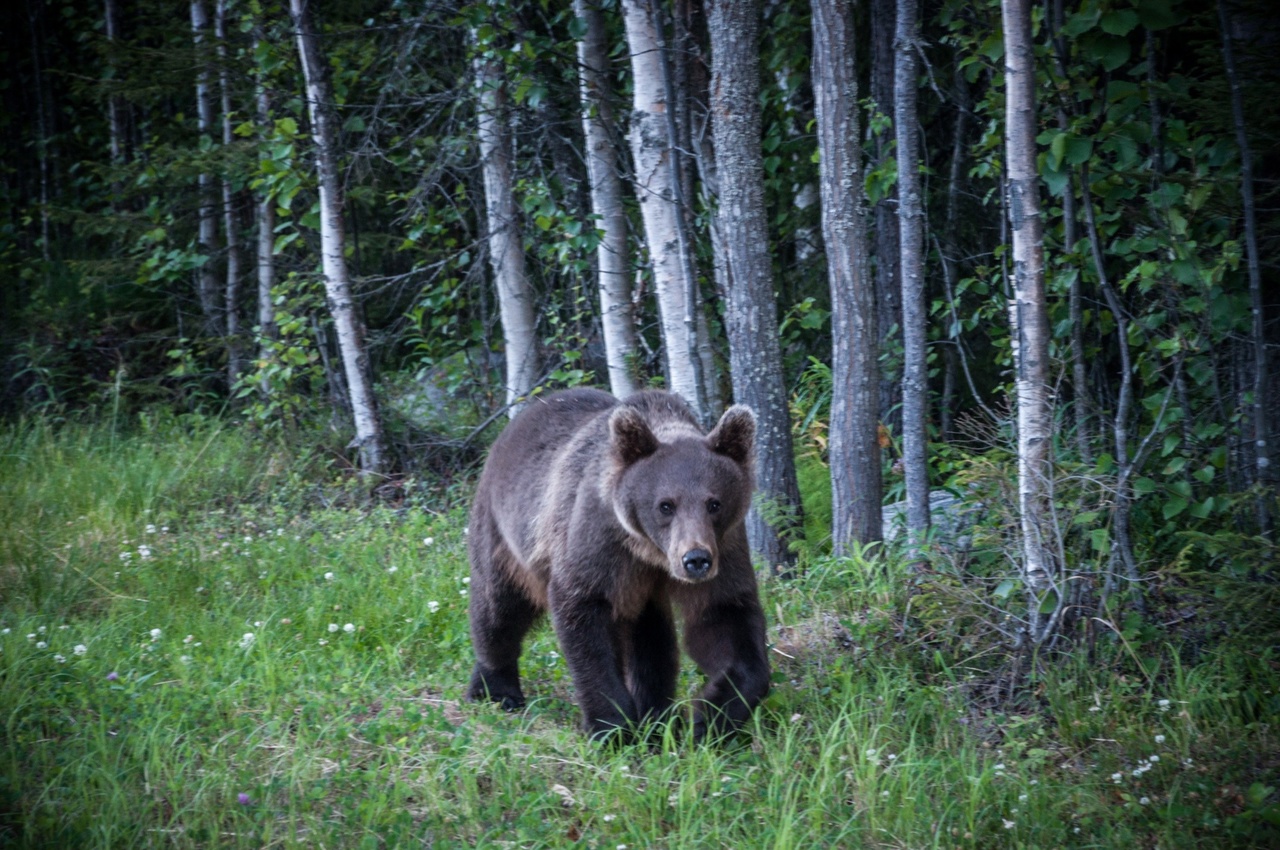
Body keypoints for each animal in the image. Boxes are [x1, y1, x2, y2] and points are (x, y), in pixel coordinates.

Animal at [471, 389, 768, 742]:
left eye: (714, 503)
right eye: (665, 505)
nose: (695, 559)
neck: (650, 553)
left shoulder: (724, 547)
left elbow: (725, 620)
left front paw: (709, 719)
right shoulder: (599, 544)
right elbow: (584, 617)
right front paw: (611, 727)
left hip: (641, 594)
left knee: (650, 639)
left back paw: (656, 717)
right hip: (507, 534)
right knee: (500, 607)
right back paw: (495, 689)